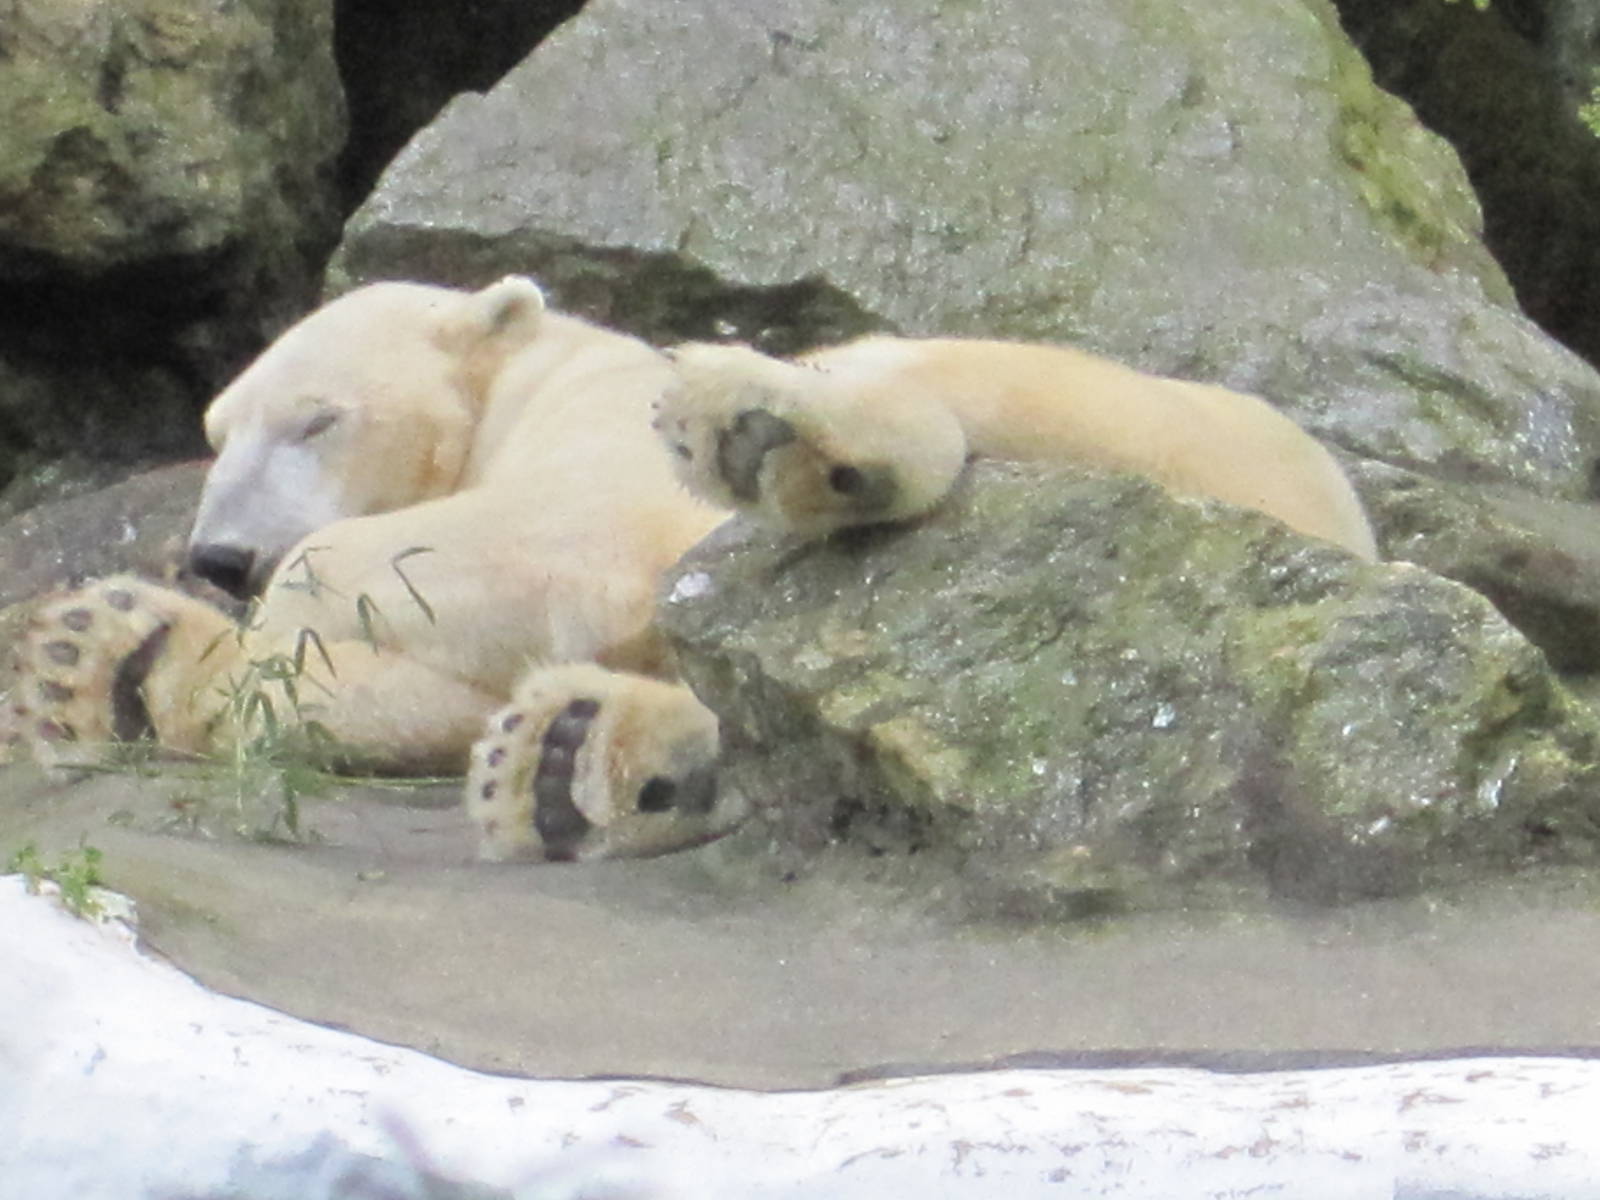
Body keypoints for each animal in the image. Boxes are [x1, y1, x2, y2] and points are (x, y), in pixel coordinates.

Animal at [13, 275, 1377, 863]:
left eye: (315, 418)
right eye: (213, 432)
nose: (222, 554)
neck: (534, 372)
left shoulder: (601, 435)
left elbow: (560, 540)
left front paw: (262, 622)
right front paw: (99, 657)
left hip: (1114, 411)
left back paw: (786, 440)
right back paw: (574, 762)